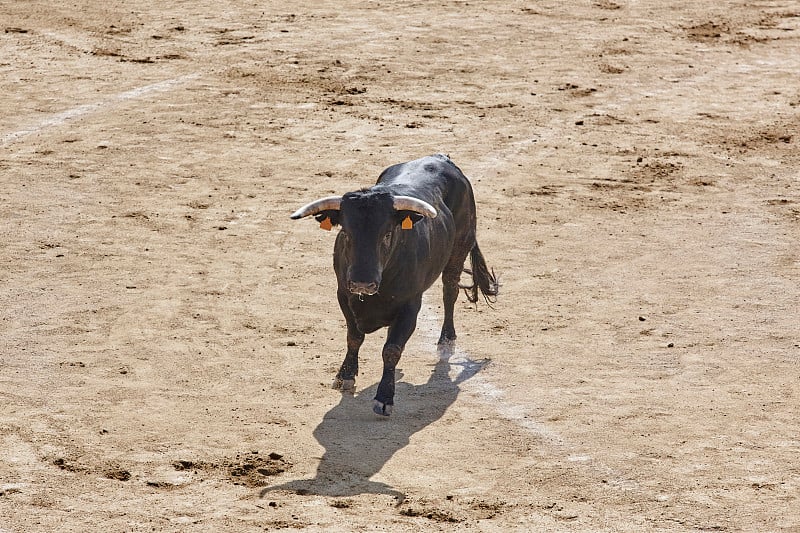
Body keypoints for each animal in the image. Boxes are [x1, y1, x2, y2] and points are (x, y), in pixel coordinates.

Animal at [290, 154, 496, 416]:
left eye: (387, 234)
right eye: (345, 233)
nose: (362, 283)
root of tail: (441, 158)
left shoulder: (410, 306)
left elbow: (392, 349)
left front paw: (384, 397)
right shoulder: (343, 295)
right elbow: (353, 337)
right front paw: (345, 375)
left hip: (460, 247)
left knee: (450, 290)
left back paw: (446, 341)